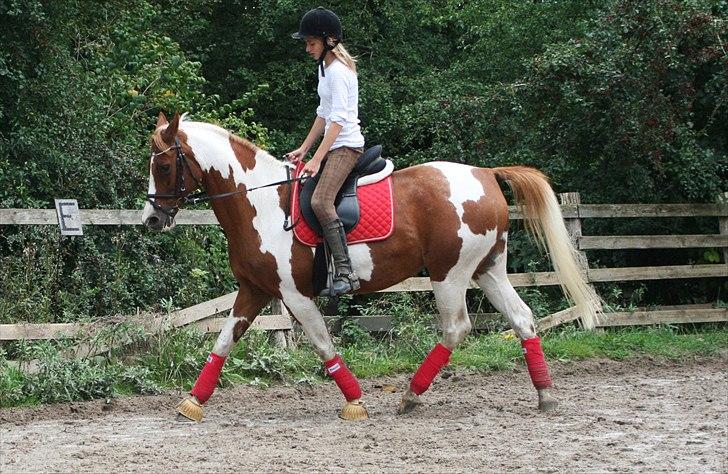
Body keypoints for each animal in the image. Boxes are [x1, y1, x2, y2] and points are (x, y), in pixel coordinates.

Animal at [144, 112, 604, 422]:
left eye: (163, 166)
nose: (151, 218)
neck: (258, 202)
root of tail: (487, 174)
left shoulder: (295, 295)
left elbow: (324, 345)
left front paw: (354, 402)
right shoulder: (253, 291)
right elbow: (222, 342)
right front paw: (192, 402)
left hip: (450, 274)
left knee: (457, 328)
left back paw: (411, 396)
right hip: (487, 270)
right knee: (523, 319)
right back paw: (545, 395)